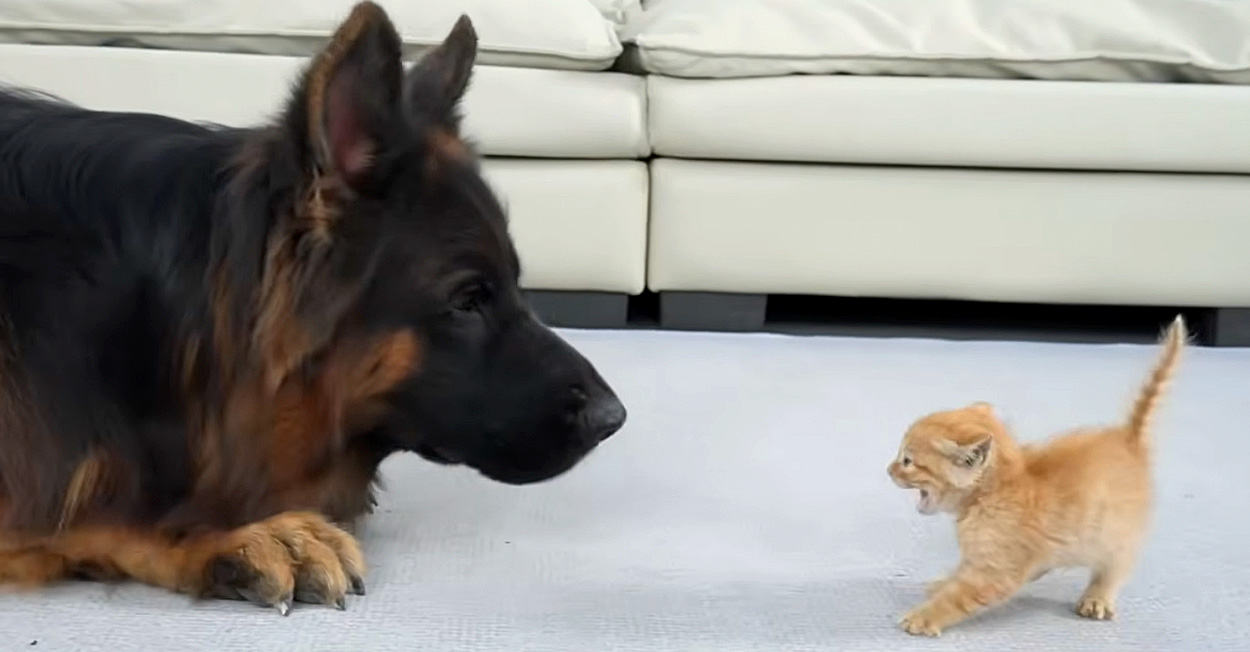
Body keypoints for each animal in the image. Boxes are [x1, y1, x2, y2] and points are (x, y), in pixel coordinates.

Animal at [886, 316, 1187, 636]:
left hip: (1117, 534)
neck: (992, 495)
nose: (888, 469)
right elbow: (960, 572)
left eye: (907, 461)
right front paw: (944, 583)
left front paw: (924, 617)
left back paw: (1097, 597)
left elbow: (959, 596)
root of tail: (1128, 438)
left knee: (1116, 566)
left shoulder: (998, 570)